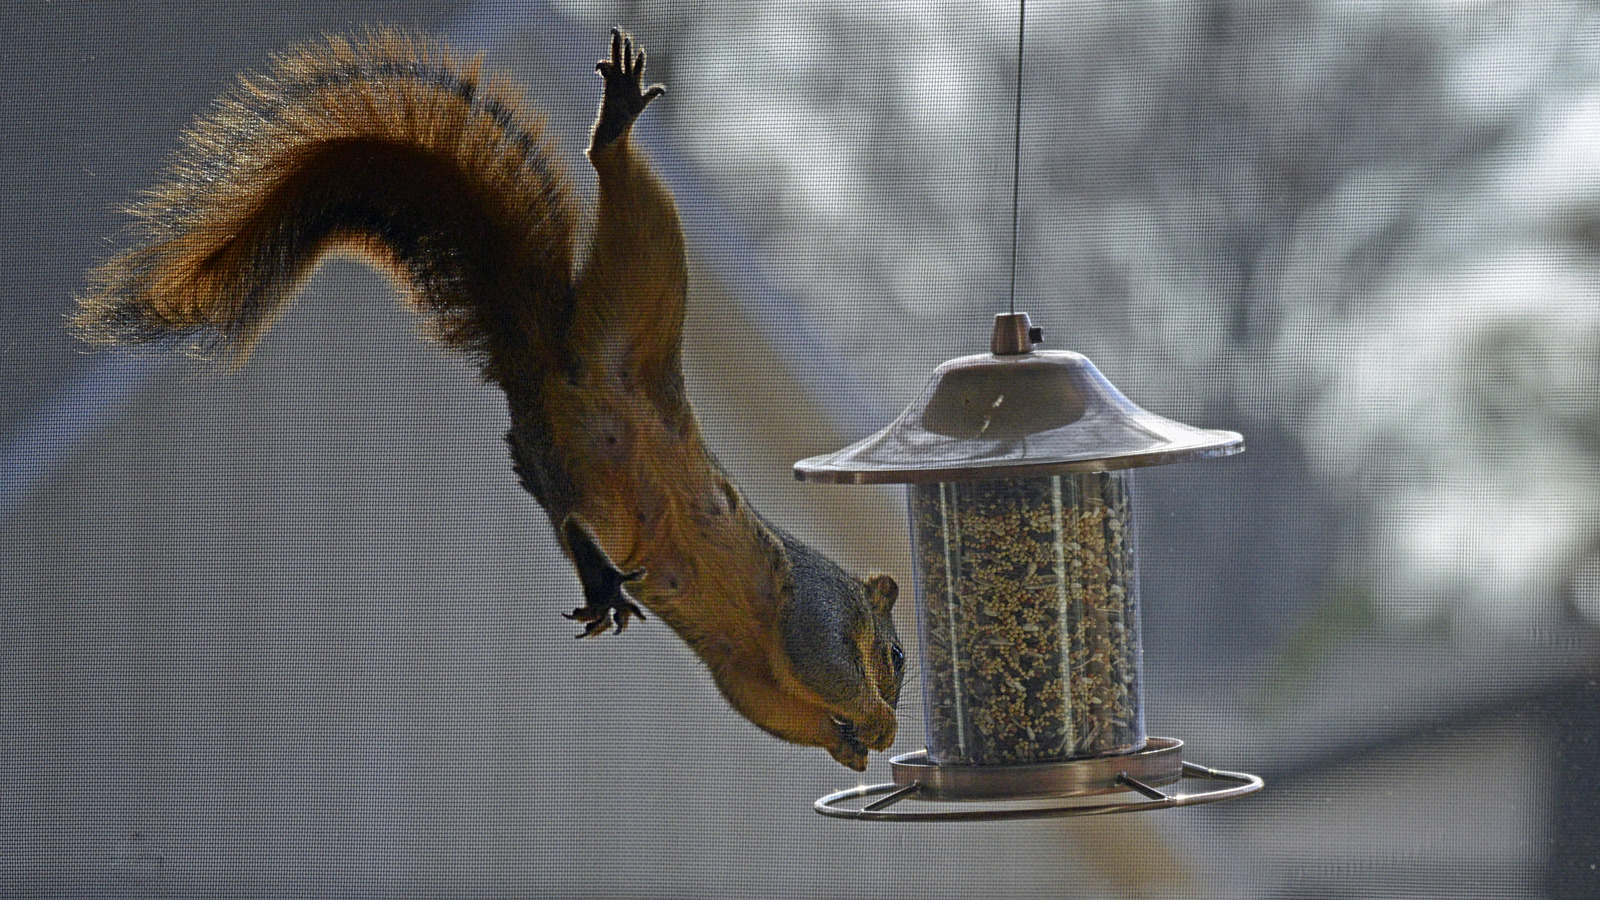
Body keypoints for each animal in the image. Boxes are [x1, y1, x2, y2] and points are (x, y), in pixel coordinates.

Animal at [72, 28, 904, 771]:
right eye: (896, 653)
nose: (891, 703)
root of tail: (539, 364)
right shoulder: (812, 616)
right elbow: (822, 668)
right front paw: (877, 720)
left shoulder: (749, 670)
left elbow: (778, 707)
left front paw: (851, 744)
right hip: (644, 291)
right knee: (630, 202)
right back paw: (615, 125)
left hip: (588, 485)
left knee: (572, 520)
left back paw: (601, 586)